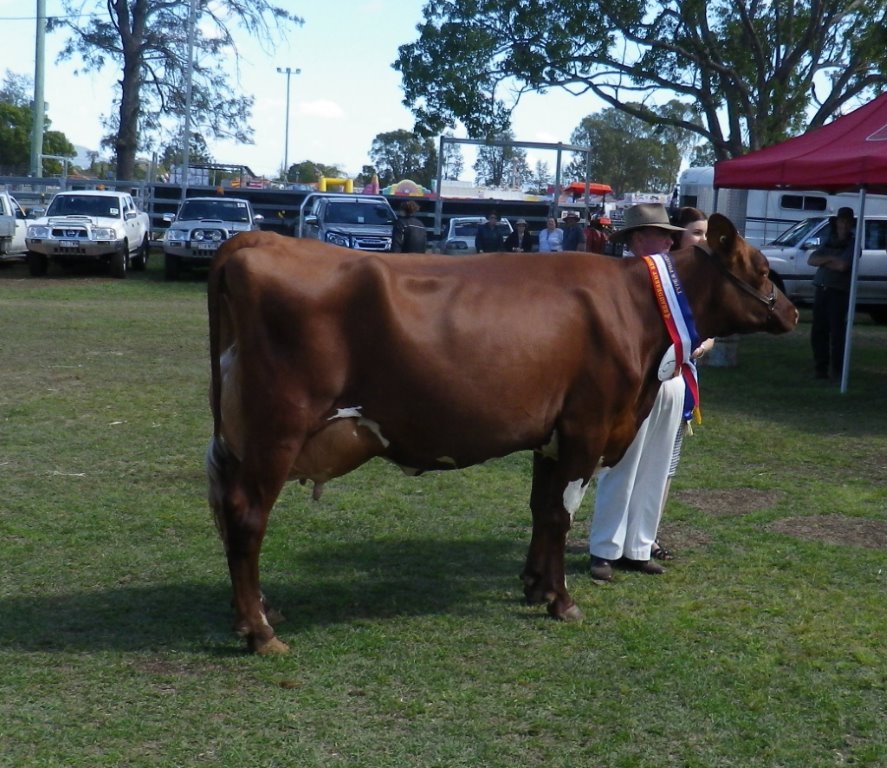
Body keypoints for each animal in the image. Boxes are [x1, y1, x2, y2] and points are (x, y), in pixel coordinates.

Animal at [206, 213, 796, 652]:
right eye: (764, 268)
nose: (791, 312)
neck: (638, 307)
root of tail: (255, 240)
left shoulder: (552, 433)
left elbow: (540, 508)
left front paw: (534, 586)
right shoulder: (588, 426)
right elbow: (561, 514)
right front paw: (562, 601)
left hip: (237, 437)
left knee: (226, 511)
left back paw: (254, 612)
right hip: (276, 431)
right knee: (248, 516)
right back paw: (260, 632)